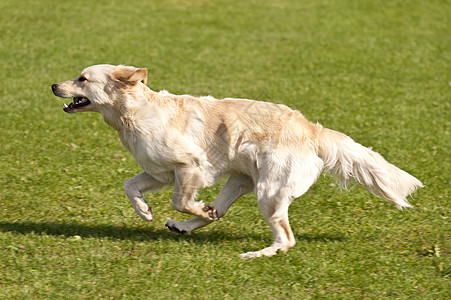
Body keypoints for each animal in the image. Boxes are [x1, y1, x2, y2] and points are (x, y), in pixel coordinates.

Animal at [53, 65, 424, 258]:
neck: (134, 112)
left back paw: (256, 253)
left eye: (83, 79)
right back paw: (187, 225)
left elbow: (180, 200)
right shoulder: (160, 171)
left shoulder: (190, 166)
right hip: (241, 181)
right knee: (220, 212)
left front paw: (186, 209)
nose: (54, 84)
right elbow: (130, 185)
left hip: (269, 193)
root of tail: (311, 129)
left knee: (285, 239)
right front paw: (144, 211)